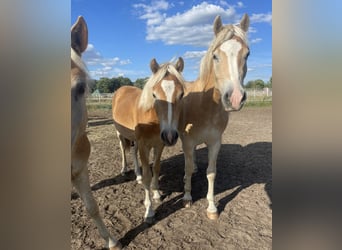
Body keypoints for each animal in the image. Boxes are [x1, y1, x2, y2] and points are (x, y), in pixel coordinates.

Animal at [113, 58, 186, 223]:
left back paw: (137, 175)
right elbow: (148, 174)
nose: (170, 135)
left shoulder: (159, 144)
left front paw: (157, 193)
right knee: (122, 149)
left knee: (133, 152)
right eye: (154, 94)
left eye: (181, 94)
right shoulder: (144, 145)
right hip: (120, 134)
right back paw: (124, 169)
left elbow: (156, 168)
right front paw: (149, 210)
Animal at [179, 14, 251, 220]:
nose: (235, 98)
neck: (205, 106)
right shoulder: (188, 141)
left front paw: (211, 207)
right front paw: (187, 197)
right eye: (215, 56)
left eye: (247, 54)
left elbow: (211, 172)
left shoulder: (215, 142)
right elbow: (187, 168)